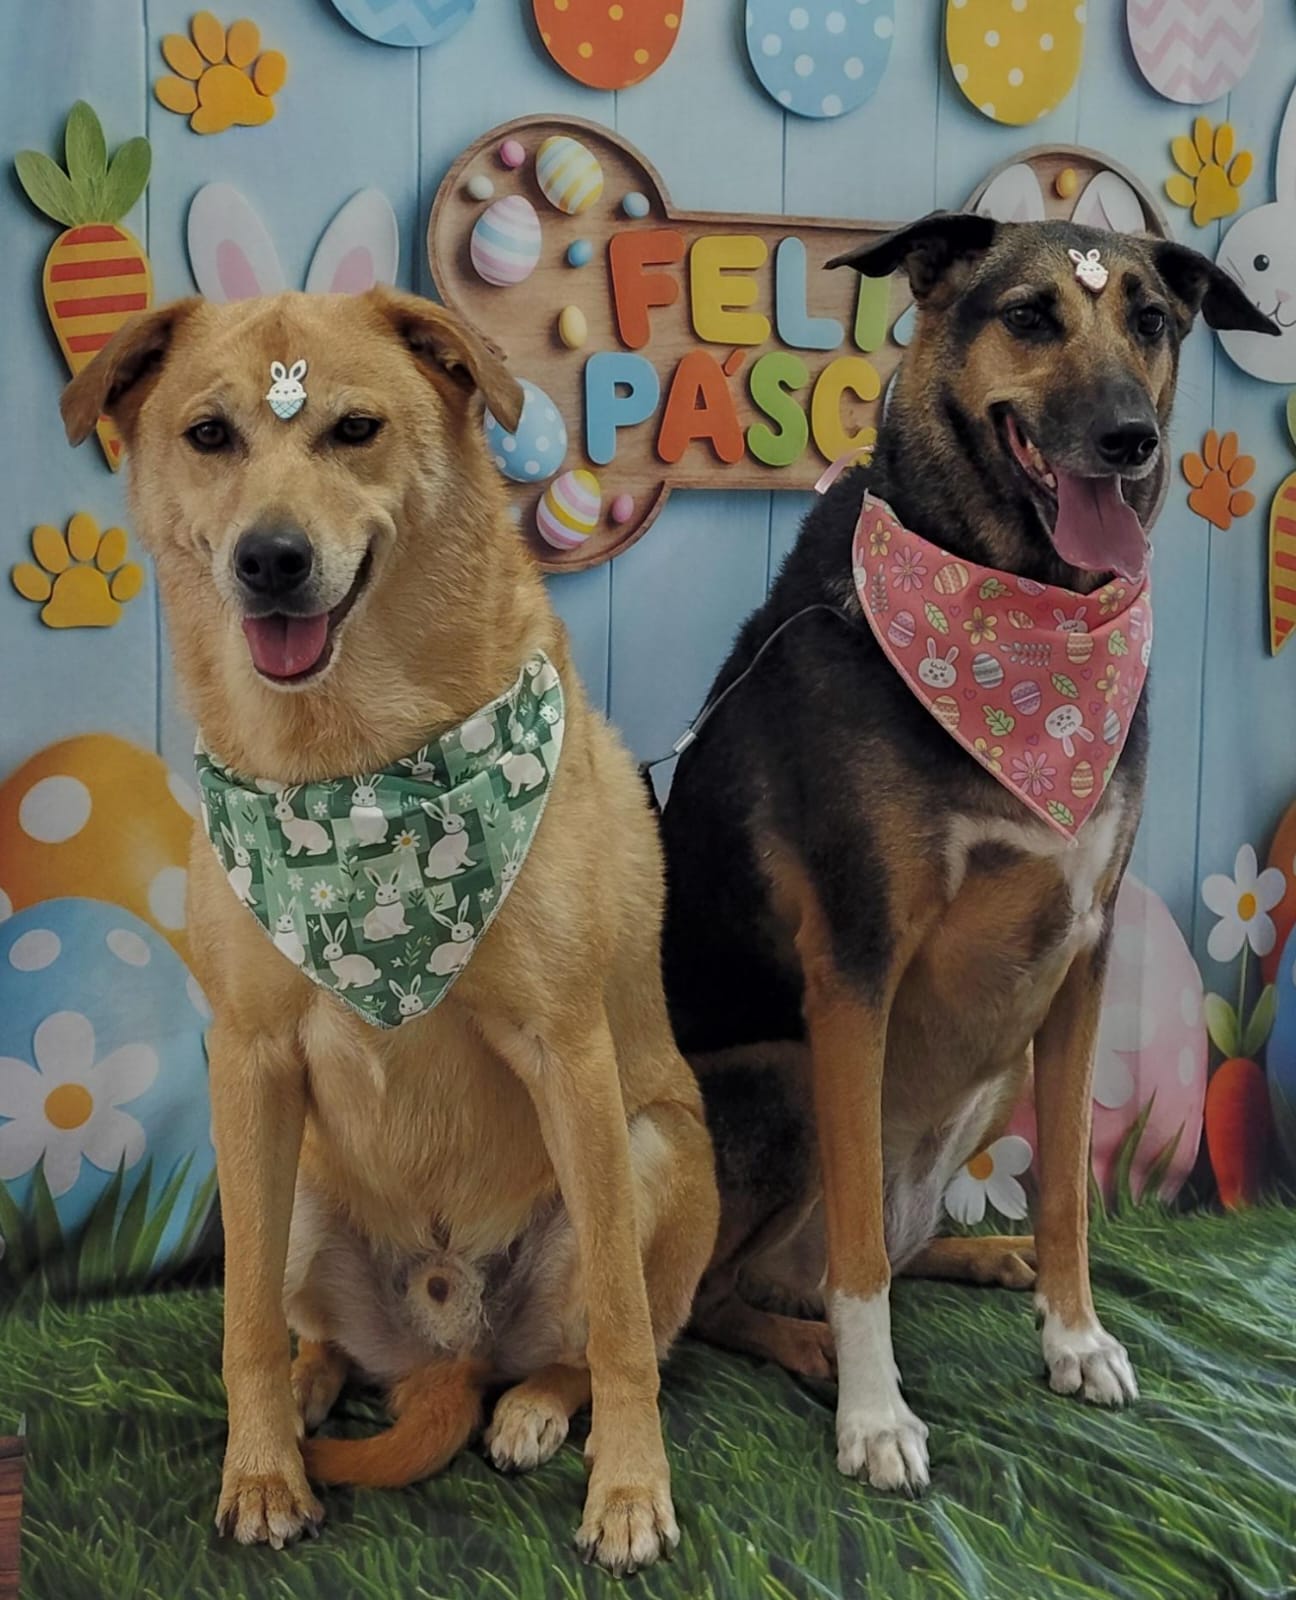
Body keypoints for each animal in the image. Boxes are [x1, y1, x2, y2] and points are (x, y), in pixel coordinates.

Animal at [61, 286, 718, 1573]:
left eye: (355, 429)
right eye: (209, 436)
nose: (270, 561)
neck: (350, 775)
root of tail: (446, 1340)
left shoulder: (570, 1051)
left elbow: (621, 1329)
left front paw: (630, 1489)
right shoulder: (248, 1058)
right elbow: (241, 1322)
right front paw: (261, 1470)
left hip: (652, 1147)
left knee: (584, 1344)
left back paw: (531, 1411)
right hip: (284, 1184)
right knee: (300, 1324)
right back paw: (314, 1392)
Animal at [657, 216, 1276, 1491]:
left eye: (1151, 320)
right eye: (1031, 316)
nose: (1130, 438)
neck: (1022, 621)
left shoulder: (1080, 953)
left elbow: (1071, 1195)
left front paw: (1073, 1332)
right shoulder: (853, 969)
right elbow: (855, 1251)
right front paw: (874, 1413)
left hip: (995, 1070)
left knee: (902, 1239)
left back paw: (987, 1258)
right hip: (780, 1079)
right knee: (731, 1291)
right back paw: (812, 1345)